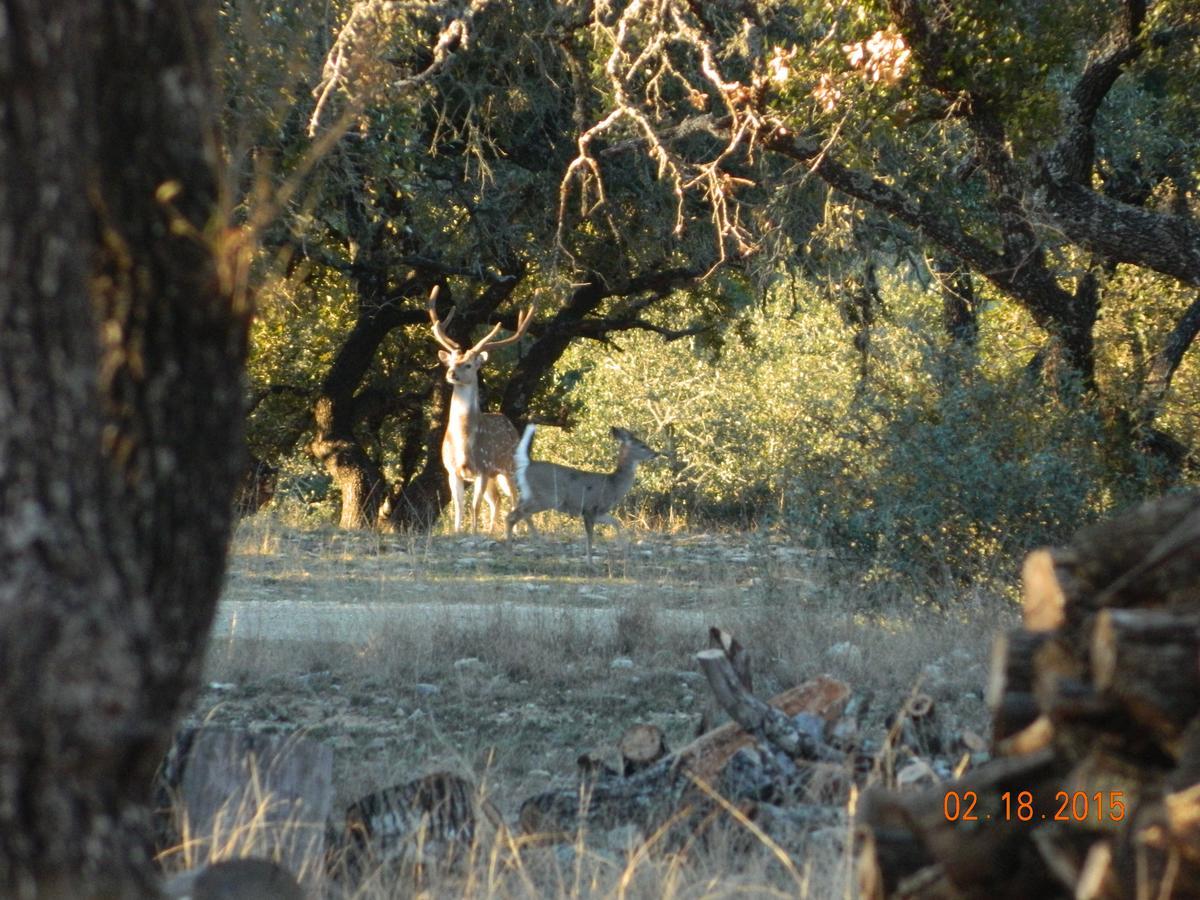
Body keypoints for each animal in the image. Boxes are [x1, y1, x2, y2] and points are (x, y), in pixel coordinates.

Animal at [424, 289, 532, 532]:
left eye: (469, 365)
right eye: (452, 361)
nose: (452, 373)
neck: (465, 444)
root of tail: (508, 422)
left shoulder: (482, 467)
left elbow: (474, 506)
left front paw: (473, 532)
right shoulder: (452, 470)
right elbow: (459, 506)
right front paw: (457, 531)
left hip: (509, 466)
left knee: (514, 498)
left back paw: (516, 530)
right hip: (494, 475)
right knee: (497, 500)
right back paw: (493, 530)